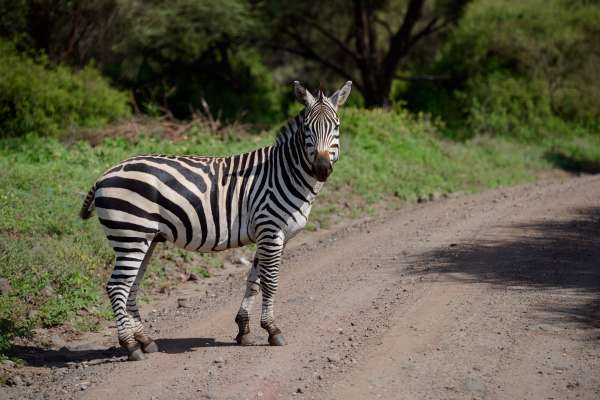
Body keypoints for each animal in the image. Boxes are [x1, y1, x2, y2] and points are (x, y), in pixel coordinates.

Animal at [79, 79, 352, 360]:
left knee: (131, 286)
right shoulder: (271, 231)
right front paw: (272, 330)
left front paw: (244, 330)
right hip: (130, 236)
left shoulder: (270, 234)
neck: (284, 173)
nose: (322, 168)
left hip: (146, 239)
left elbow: (254, 281)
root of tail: (103, 175)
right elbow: (271, 282)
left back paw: (145, 340)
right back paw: (131, 346)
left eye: (337, 126)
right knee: (117, 287)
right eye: (307, 128)